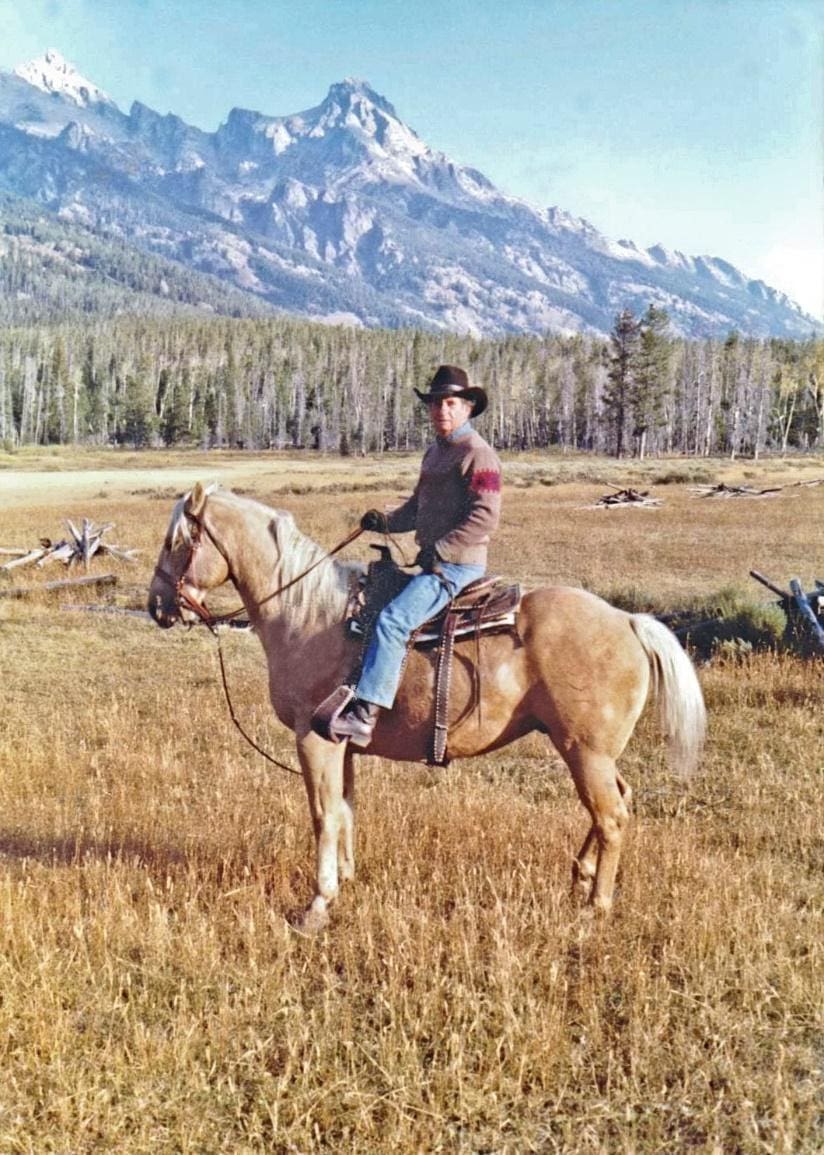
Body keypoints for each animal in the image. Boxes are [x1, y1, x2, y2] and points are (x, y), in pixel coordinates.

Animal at [149, 482, 707, 933]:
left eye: (176, 542)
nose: (157, 605)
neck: (310, 615)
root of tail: (629, 621)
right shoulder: (343, 745)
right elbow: (346, 810)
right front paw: (347, 879)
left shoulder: (314, 739)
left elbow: (323, 815)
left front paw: (318, 904)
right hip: (588, 751)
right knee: (618, 801)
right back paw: (582, 875)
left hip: (584, 752)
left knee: (611, 816)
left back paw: (597, 905)